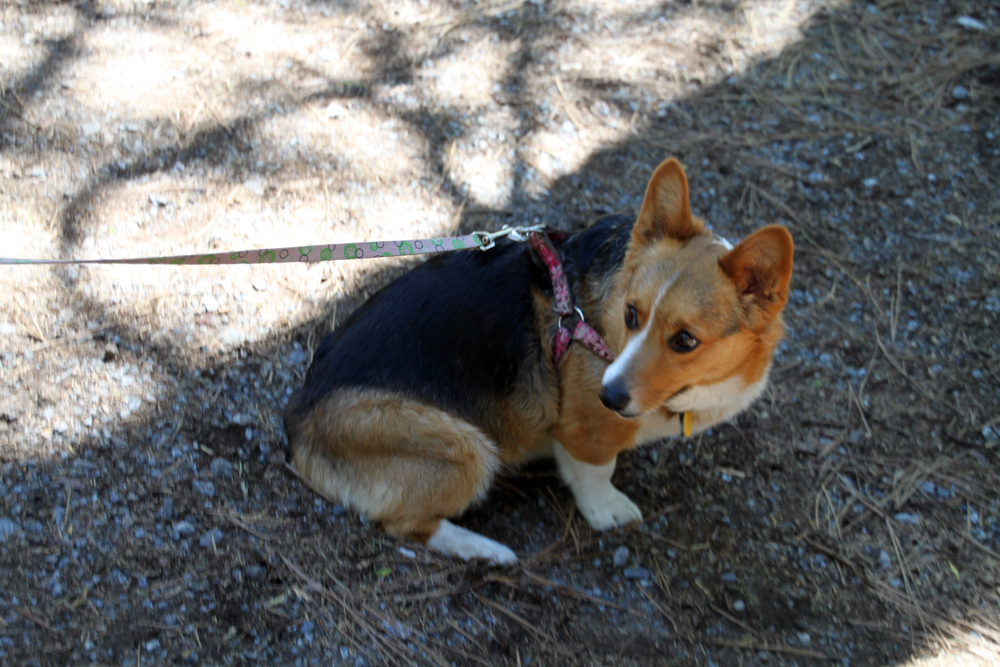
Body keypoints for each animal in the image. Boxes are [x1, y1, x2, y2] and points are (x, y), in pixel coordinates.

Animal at [284, 158, 794, 564]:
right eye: (631, 313)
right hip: (466, 447)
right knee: (404, 524)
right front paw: (608, 510)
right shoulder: (585, 430)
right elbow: (596, 471)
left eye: (685, 340)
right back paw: (486, 550)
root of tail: (297, 424)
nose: (608, 395)